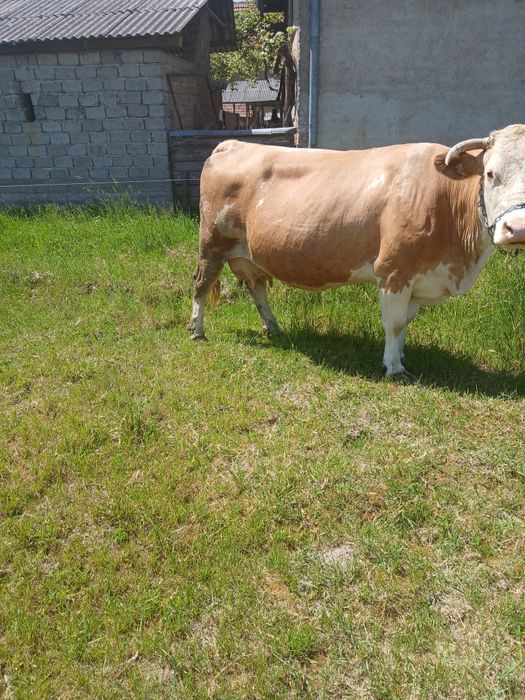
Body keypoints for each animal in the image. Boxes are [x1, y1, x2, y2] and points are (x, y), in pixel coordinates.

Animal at [188, 124, 525, 379]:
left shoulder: (418, 278)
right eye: (490, 173)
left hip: (248, 253)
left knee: (257, 288)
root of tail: (231, 144)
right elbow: (394, 323)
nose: (518, 228)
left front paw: (401, 354)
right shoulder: (393, 270)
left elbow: (405, 323)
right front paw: (394, 367)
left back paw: (273, 328)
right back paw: (196, 330)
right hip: (212, 243)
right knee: (202, 285)